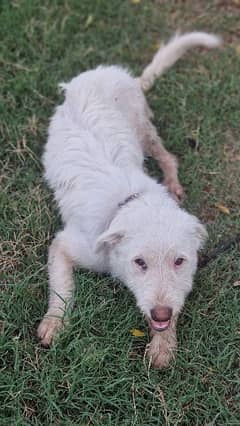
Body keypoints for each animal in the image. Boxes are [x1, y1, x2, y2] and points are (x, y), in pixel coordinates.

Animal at [38, 31, 221, 368]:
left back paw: (173, 182)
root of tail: (112, 72)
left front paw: (163, 345)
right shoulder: (65, 245)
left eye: (180, 261)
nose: (160, 313)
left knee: (168, 156)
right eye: (140, 262)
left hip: (142, 126)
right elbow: (62, 289)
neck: (126, 203)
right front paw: (55, 323)